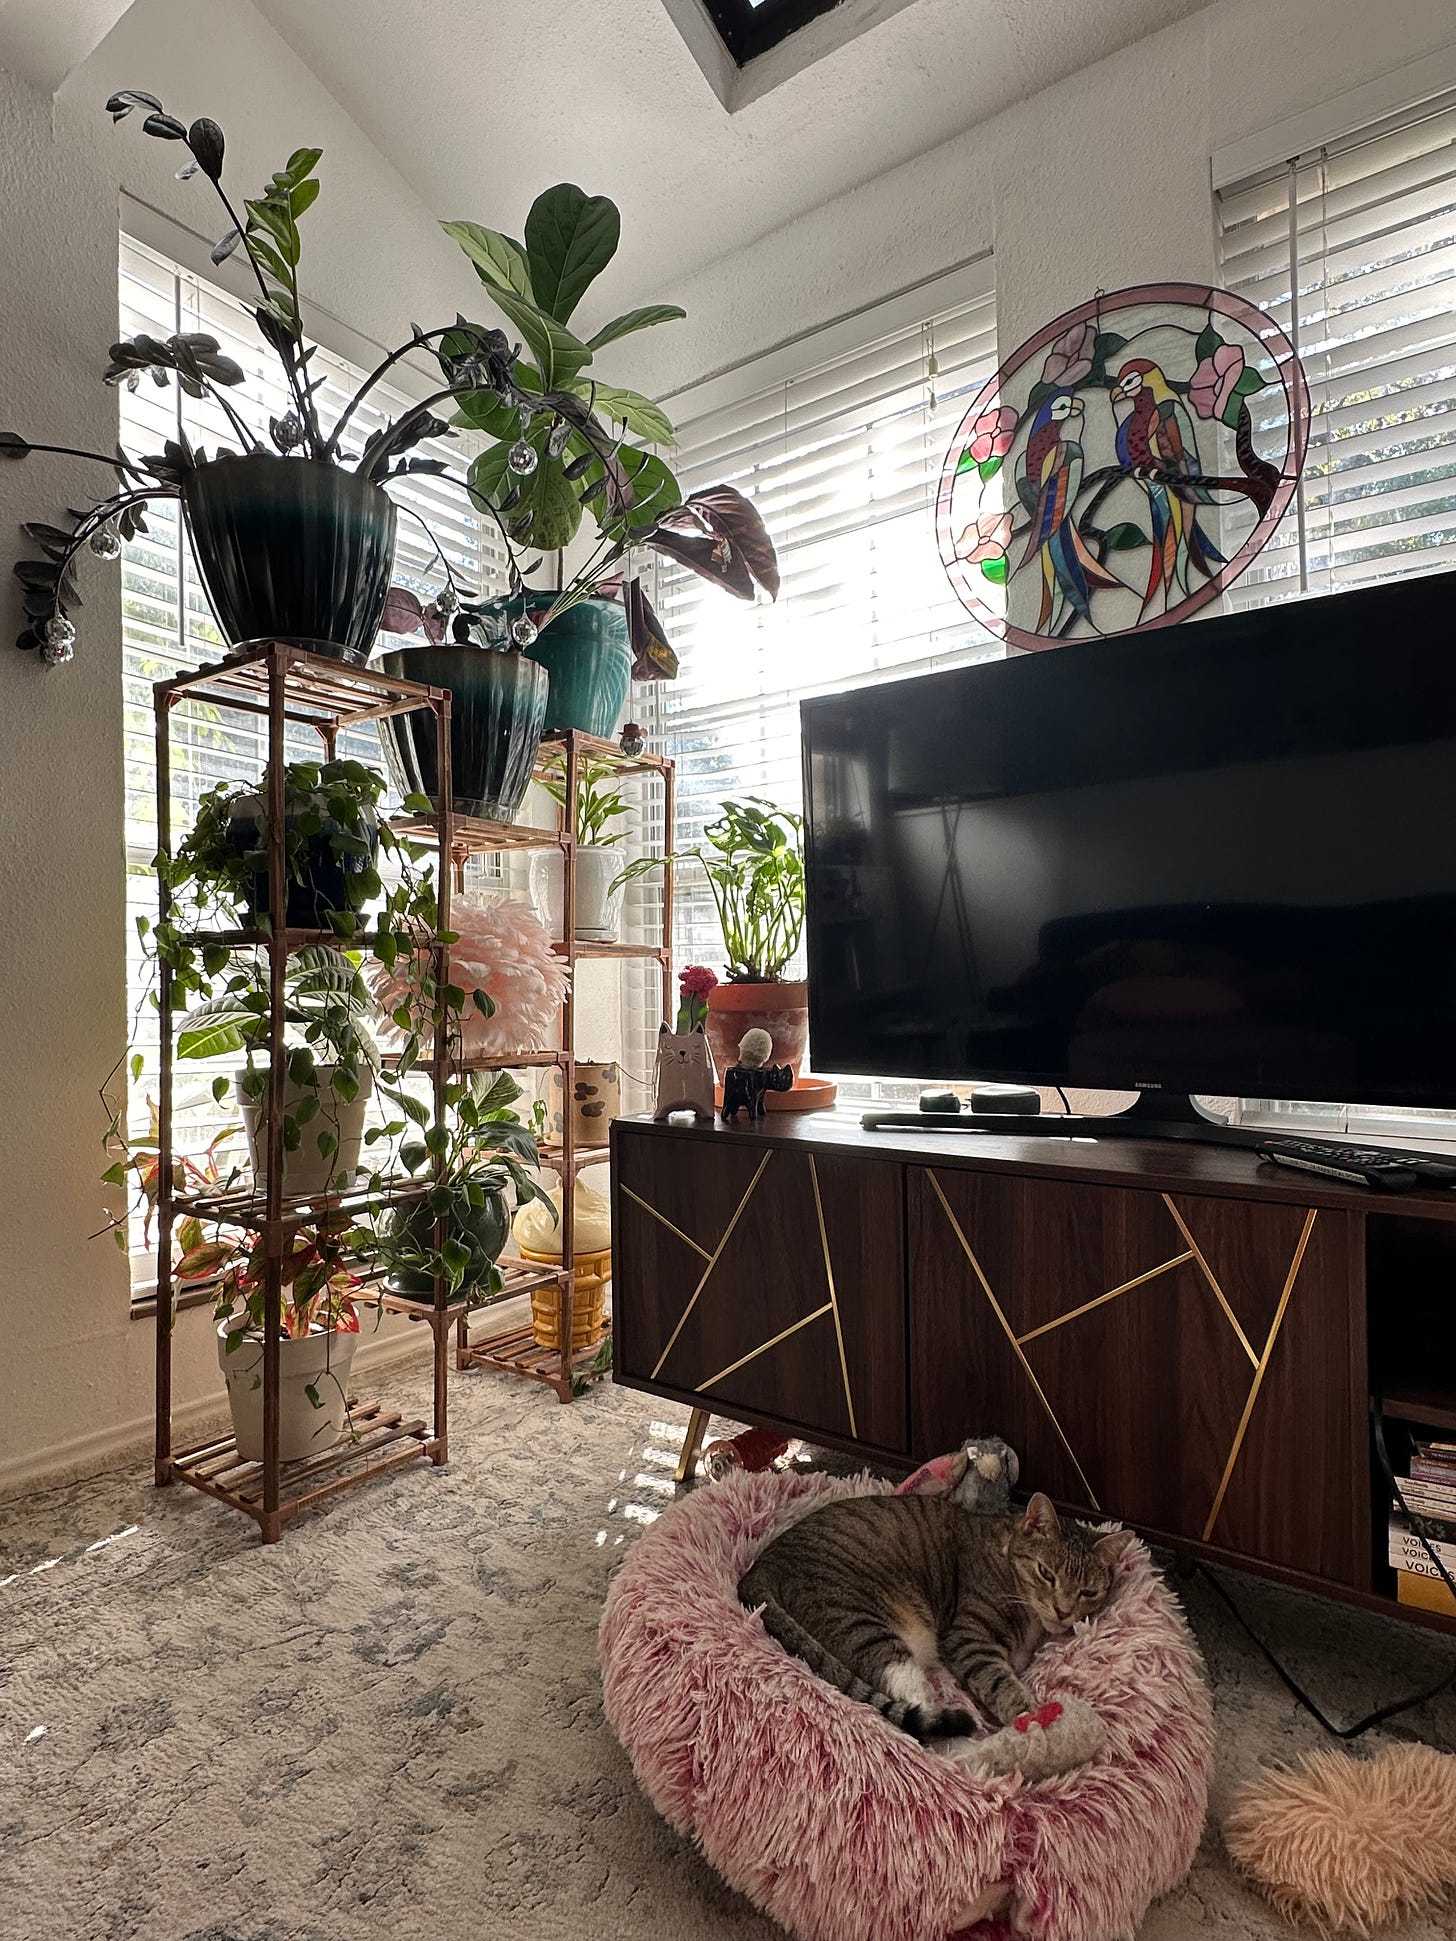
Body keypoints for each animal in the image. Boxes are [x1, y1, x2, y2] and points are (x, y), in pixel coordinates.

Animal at [733, 1490, 1133, 1739]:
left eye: (1088, 1592)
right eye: (1046, 1573)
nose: (1063, 1611)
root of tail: (757, 1569)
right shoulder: (968, 1638)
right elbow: (998, 1680)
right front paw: (1032, 1716)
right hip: (861, 1622)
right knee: (910, 1704)